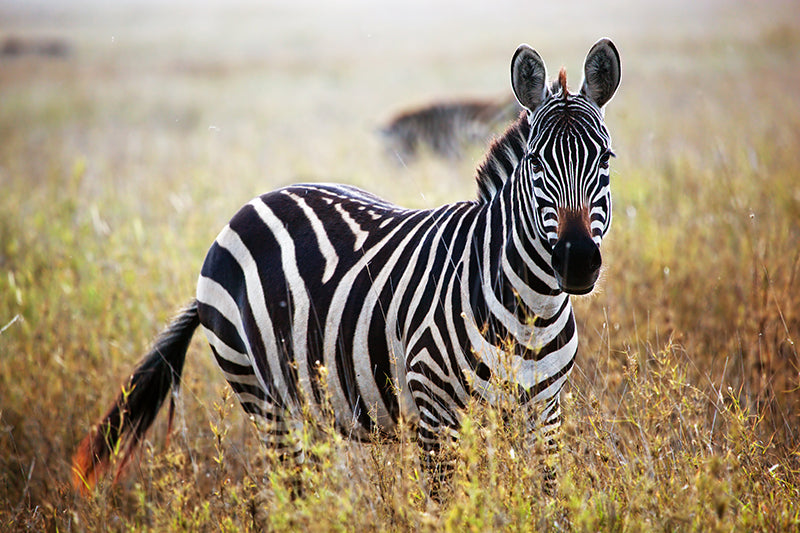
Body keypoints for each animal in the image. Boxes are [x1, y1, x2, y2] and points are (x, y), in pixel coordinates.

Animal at [73, 39, 620, 496]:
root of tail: (249, 206)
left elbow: (544, 500)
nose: (575, 262)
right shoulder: (436, 414)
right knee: (292, 494)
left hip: (310, 403)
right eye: (536, 163)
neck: (531, 309)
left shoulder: (544, 415)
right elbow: (449, 506)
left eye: (606, 160)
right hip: (264, 398)